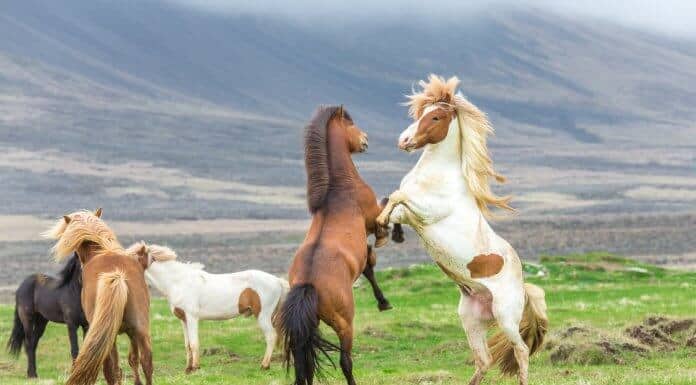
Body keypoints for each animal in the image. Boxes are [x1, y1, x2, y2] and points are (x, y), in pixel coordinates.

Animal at [43, 208, 154, 384]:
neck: (100, 251)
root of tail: (117, 276)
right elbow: (132, 361)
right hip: (140, 328)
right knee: (146, 363)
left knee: (109, 368)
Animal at [133, 243, 288, 372]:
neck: (178, 282)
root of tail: (277, 280)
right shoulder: (183, 320)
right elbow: (187, 345)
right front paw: (187, 369)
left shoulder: (192, 318)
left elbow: (194, 343)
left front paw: (195, 368)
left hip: (263, 316)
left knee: (271, 336)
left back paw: (264, 366)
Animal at [278, 105, 396, 384]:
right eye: (350, 124)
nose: (365, 139)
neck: (339, 189)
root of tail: (308, 284)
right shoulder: (372, 219)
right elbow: (387, 208)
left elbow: (368, 264)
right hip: (344, 323)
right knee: (345, 361)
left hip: (308, 327)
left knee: (305, 366)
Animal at [376, 75, 548, 384]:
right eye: (419, 114)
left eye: (435, 116)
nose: (403, 141)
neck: (438, 176)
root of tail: (523, 287)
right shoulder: (410, 215)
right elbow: (390, 202)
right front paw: (381, 226)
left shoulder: (427, 212)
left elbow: (397, 195)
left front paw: (383, 225)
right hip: (472, 320)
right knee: (484, 360)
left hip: (505, 316)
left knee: (521, 351)